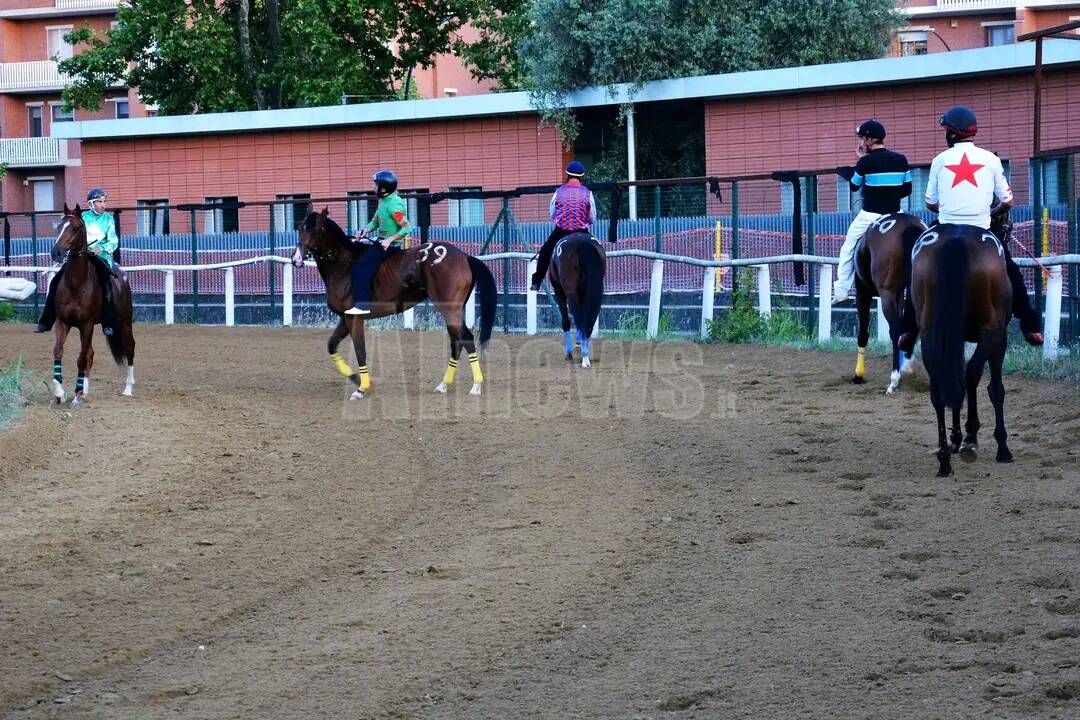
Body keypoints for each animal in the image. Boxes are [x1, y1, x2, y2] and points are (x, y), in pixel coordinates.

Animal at [50, 202, 136, 405]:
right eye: (59, 226)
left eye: (75, 228)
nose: (56, 252)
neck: (76, 284)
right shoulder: (62, 322)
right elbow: (58, 352)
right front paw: (60, 393)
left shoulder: (86, 324)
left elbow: (81, 358)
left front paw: (75, 396)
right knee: (90, 353)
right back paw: (84, 390)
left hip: (124, 321)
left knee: (129, 348)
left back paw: (128, 389)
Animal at [295, 208, 496, 399]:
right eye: (300, 228)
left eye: (316, 229)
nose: (296, 258)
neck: (344, 265)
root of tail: (464, 256)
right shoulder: (345, 318)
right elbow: (331, 346)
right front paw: (356, 378)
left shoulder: (354, 318)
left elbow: (360, 351)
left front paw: (362, 387)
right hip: (453, 311)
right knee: (458, 341)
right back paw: (444, 384)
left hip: (449, 309)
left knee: (465, 339)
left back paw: (476, 385)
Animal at [855, 211, 924, 395]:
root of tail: (907, 223)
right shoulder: (899, 294)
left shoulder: (862, 293)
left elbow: (863, 333)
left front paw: (858, 375)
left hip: (886, 294)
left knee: (894, 330)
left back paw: (894, 380)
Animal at [911, 222, 1010, 474]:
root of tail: (957, 239)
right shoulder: (1000, 337)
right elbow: (993, 387)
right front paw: (996, 445)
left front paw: (958, 438)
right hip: (991, 330)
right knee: (972, 373)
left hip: (929, 333)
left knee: (940, 387)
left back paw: (944, 459)